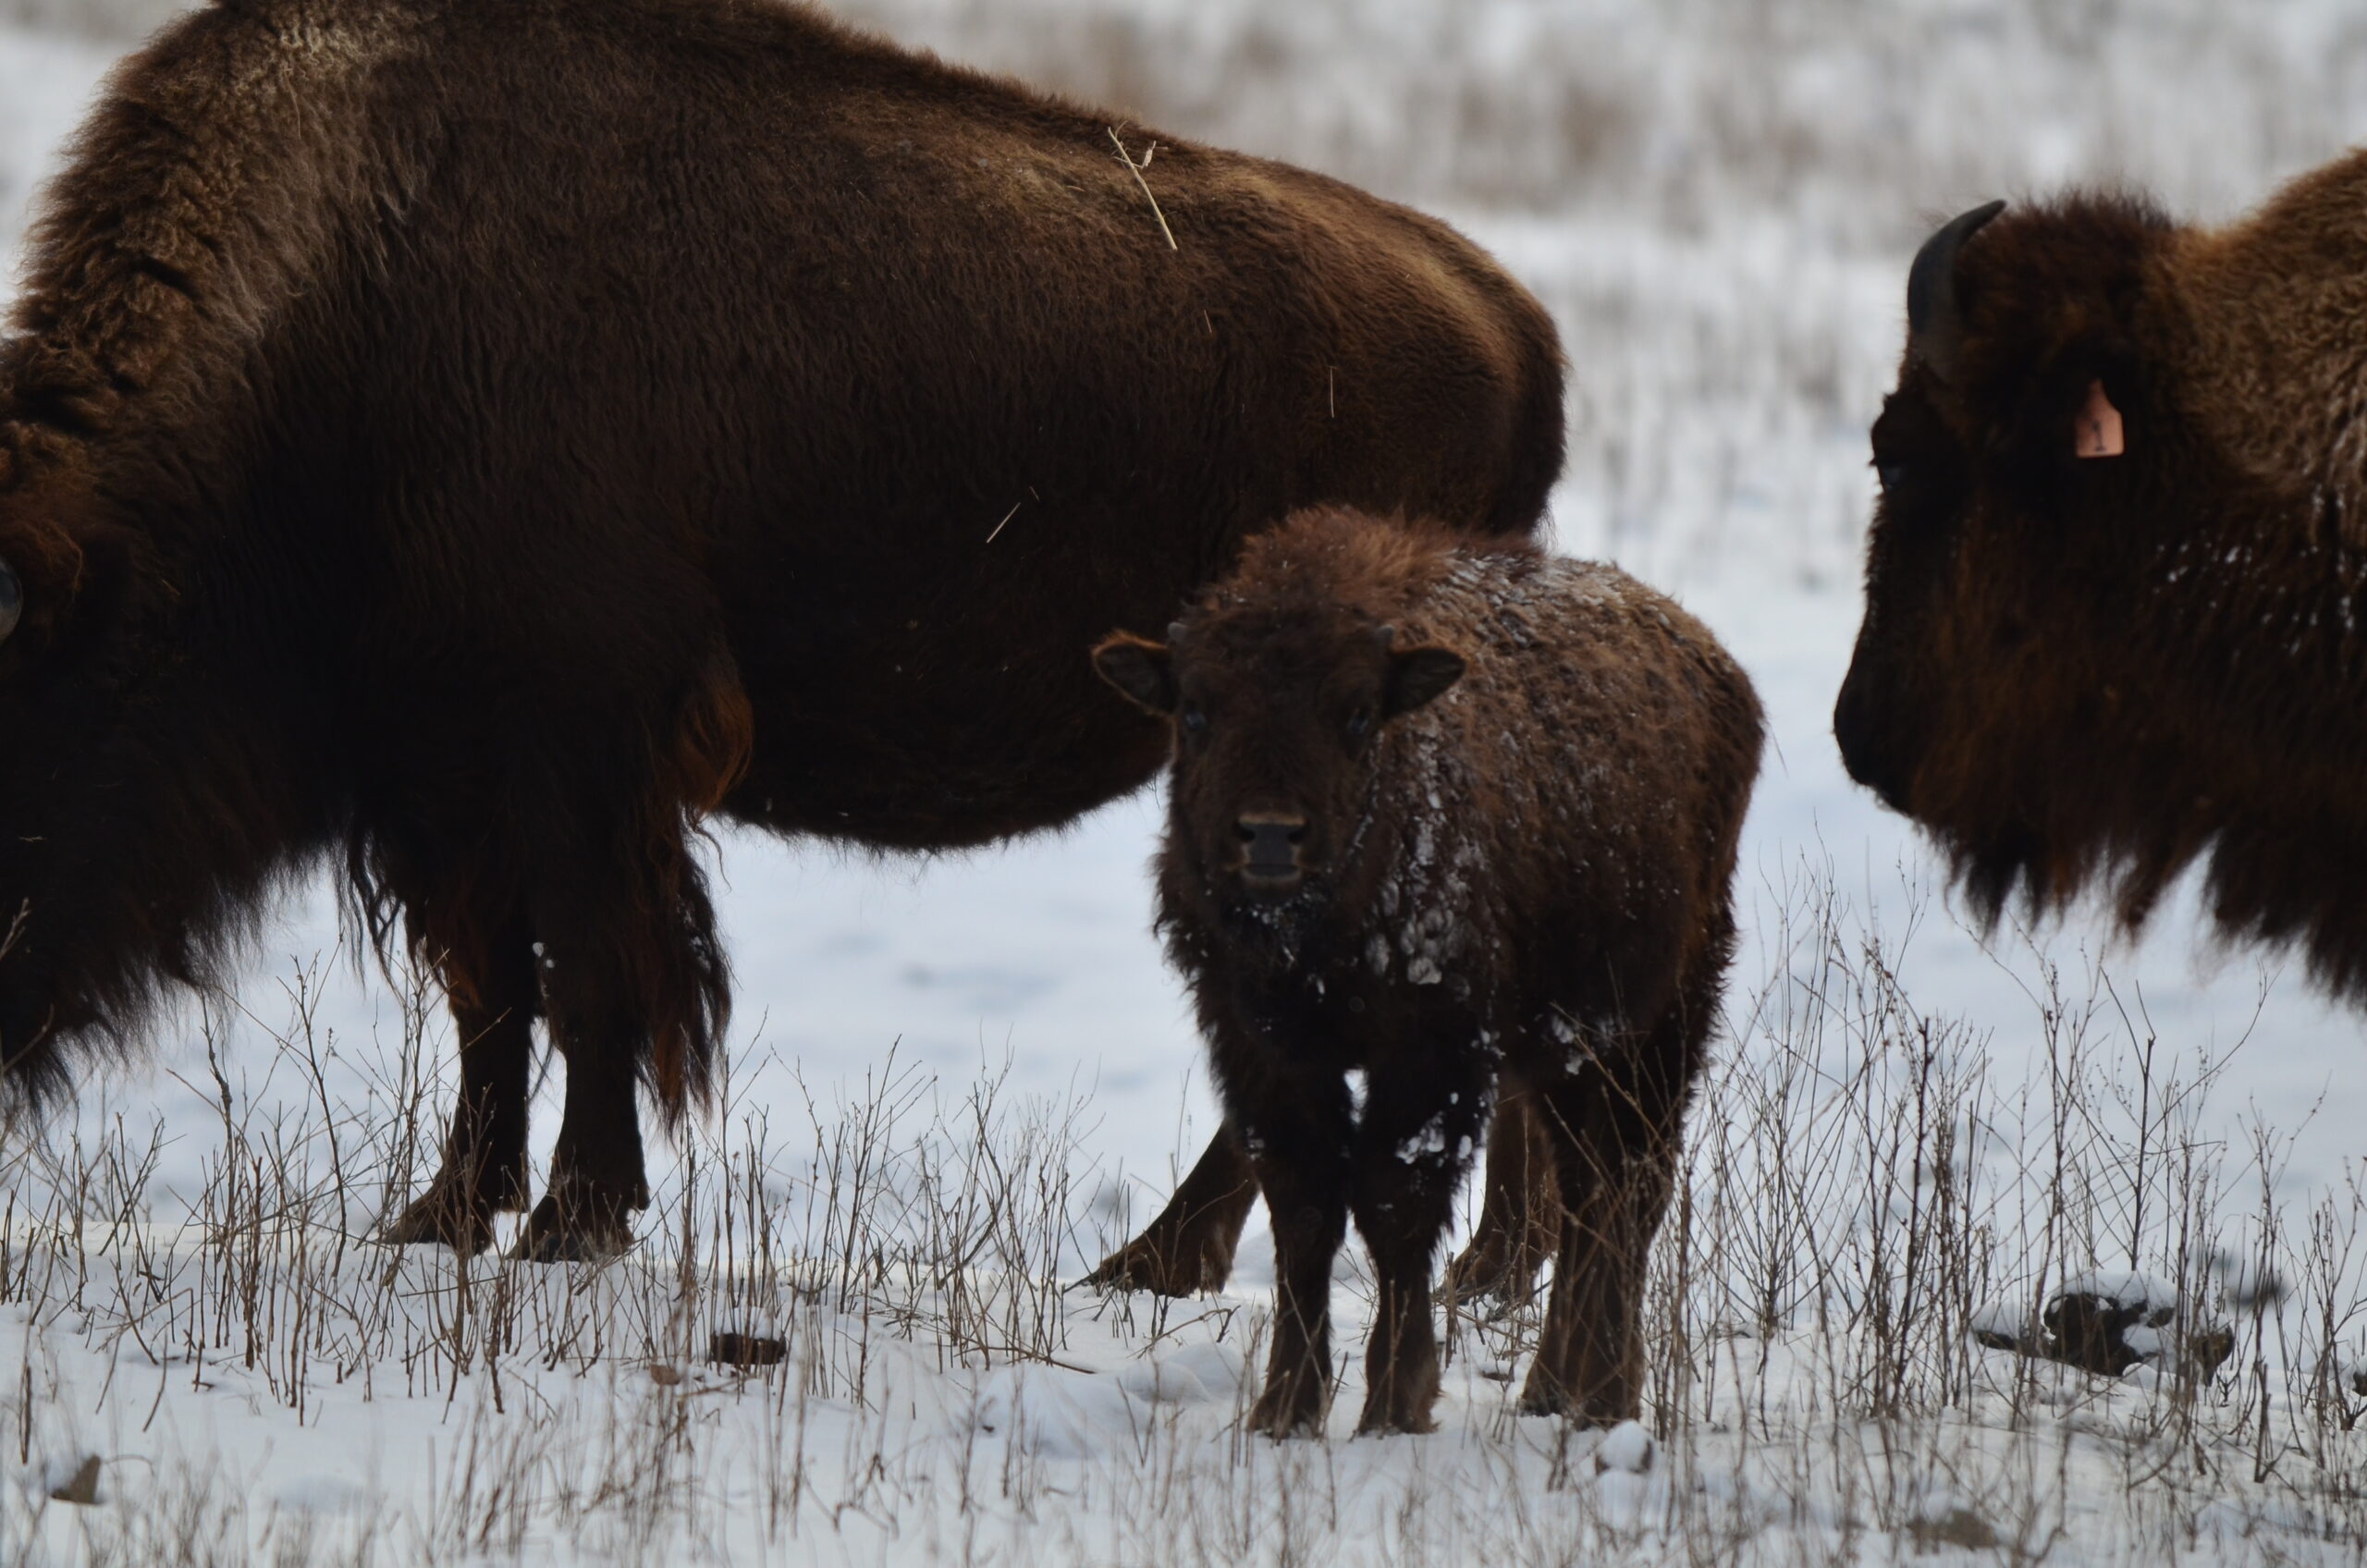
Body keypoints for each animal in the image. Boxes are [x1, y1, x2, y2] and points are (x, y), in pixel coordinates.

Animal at [0, 0, 1566, 1261]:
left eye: (28, 701)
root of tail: (1515, 324)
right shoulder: (446, 777)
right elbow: (492, 995)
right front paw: (442, 1216)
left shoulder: (579, 746)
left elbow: (593, 977)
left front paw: (573, 1223)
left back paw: (1159, 1268)